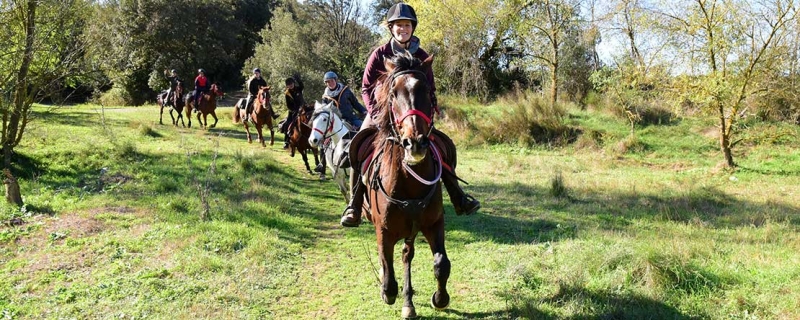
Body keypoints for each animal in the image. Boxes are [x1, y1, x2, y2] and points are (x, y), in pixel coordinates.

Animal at [354, 53, 450, 318]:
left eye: (427, 91)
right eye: (393, 94)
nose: (414, 143)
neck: (410, 183)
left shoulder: (434, 224)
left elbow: (441, 264)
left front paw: (439, 299)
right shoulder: (383, 231)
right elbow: (388, 276)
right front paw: (387, 292)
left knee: (407, 256)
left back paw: (408, 303)